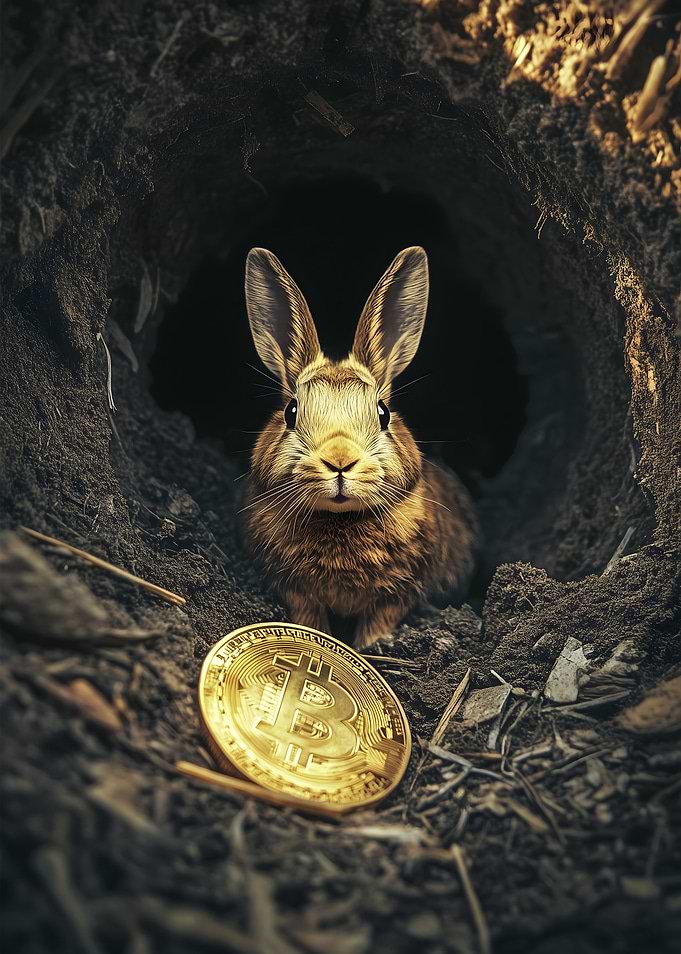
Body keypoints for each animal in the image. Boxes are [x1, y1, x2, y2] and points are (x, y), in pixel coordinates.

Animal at [241, 246, 480, 649]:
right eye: (291, 412)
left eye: (383, 413)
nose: (340, 461)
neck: (340, 519)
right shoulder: (295, 590)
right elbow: (308, 616)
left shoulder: (397, 594)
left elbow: (379, 621)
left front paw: (372, 647)